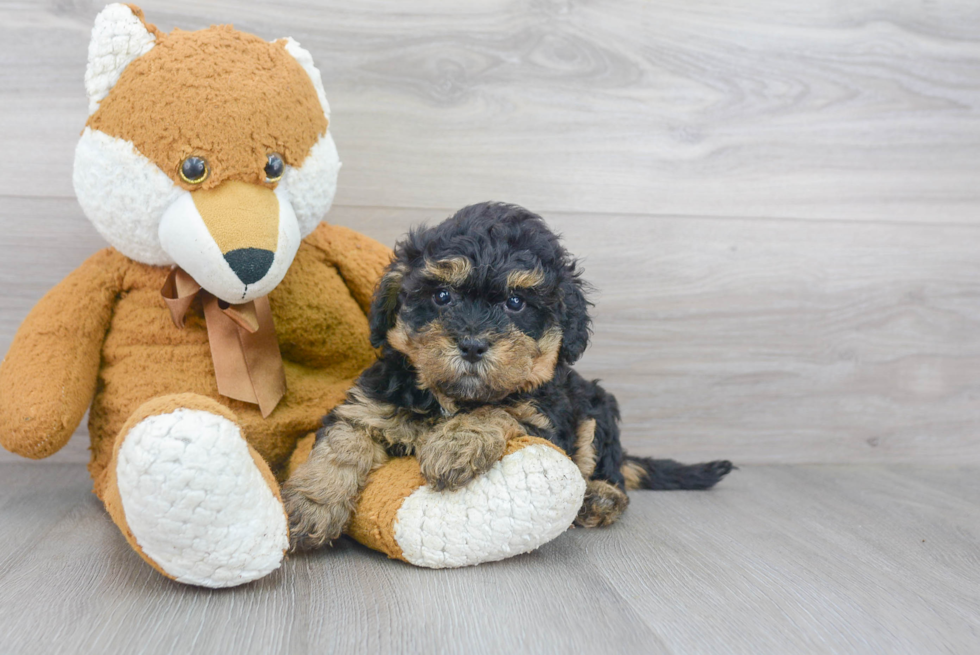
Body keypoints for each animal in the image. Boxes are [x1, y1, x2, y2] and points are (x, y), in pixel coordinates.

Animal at [284, 202, 728, 552]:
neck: (450, 398)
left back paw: (600, 498)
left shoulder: (544, 420)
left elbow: (498, 410)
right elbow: (343, 442)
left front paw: (455, 443)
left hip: (596, 410)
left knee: (605, 465)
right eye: (442, 296)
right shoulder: (370, 405)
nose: (472, 344)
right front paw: (312, 505)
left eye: (516, 303)